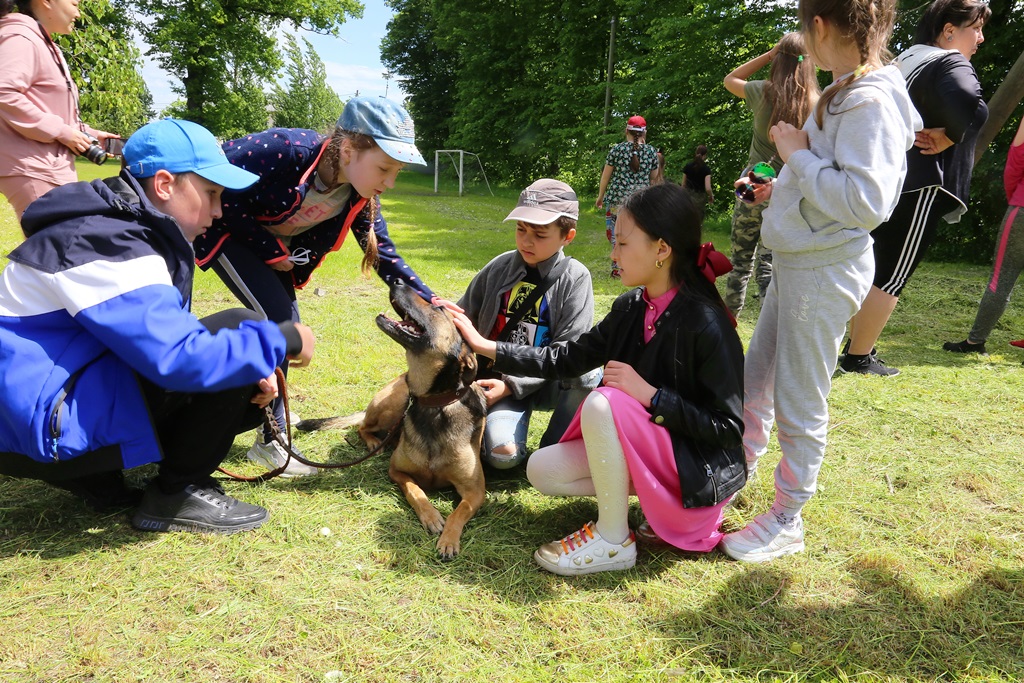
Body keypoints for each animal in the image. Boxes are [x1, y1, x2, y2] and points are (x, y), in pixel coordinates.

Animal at [296, 280, 487, 557]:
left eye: (439, 308)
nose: (398, 281)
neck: (436, 405)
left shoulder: (475, 491)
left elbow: (458, 512)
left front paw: (449, 540)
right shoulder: (397, 471)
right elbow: (416, 491)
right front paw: (431, 517)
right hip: (395, 402)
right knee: (363, 426)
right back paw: (374, 442)